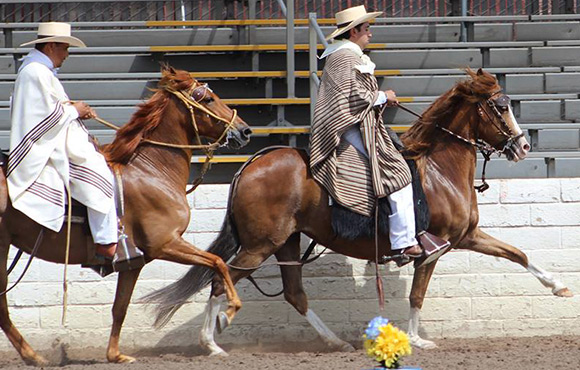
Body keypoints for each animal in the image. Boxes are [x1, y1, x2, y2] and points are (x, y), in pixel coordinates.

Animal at [0, 66, 250, 364]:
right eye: (209, 99)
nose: (245, 130)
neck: (152, 171)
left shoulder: (133, 262)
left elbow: (120, 307)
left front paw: (115, 355)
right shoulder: (165, 244)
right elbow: (218, 262)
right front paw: (229, 311)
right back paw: (33, 356)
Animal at [145, 68, 572, 354]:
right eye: (500, 107)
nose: (523, 147)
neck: (440, 170)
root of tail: (252, 163)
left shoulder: (466, 236)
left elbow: (517, 253)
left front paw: (559, 286)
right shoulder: (437, 247)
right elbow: (418, 294)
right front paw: (417, 339)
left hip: (286, 243)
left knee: (293, 294)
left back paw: (335, 341)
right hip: (259, 245)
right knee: (221, 281)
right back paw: (212, 341)